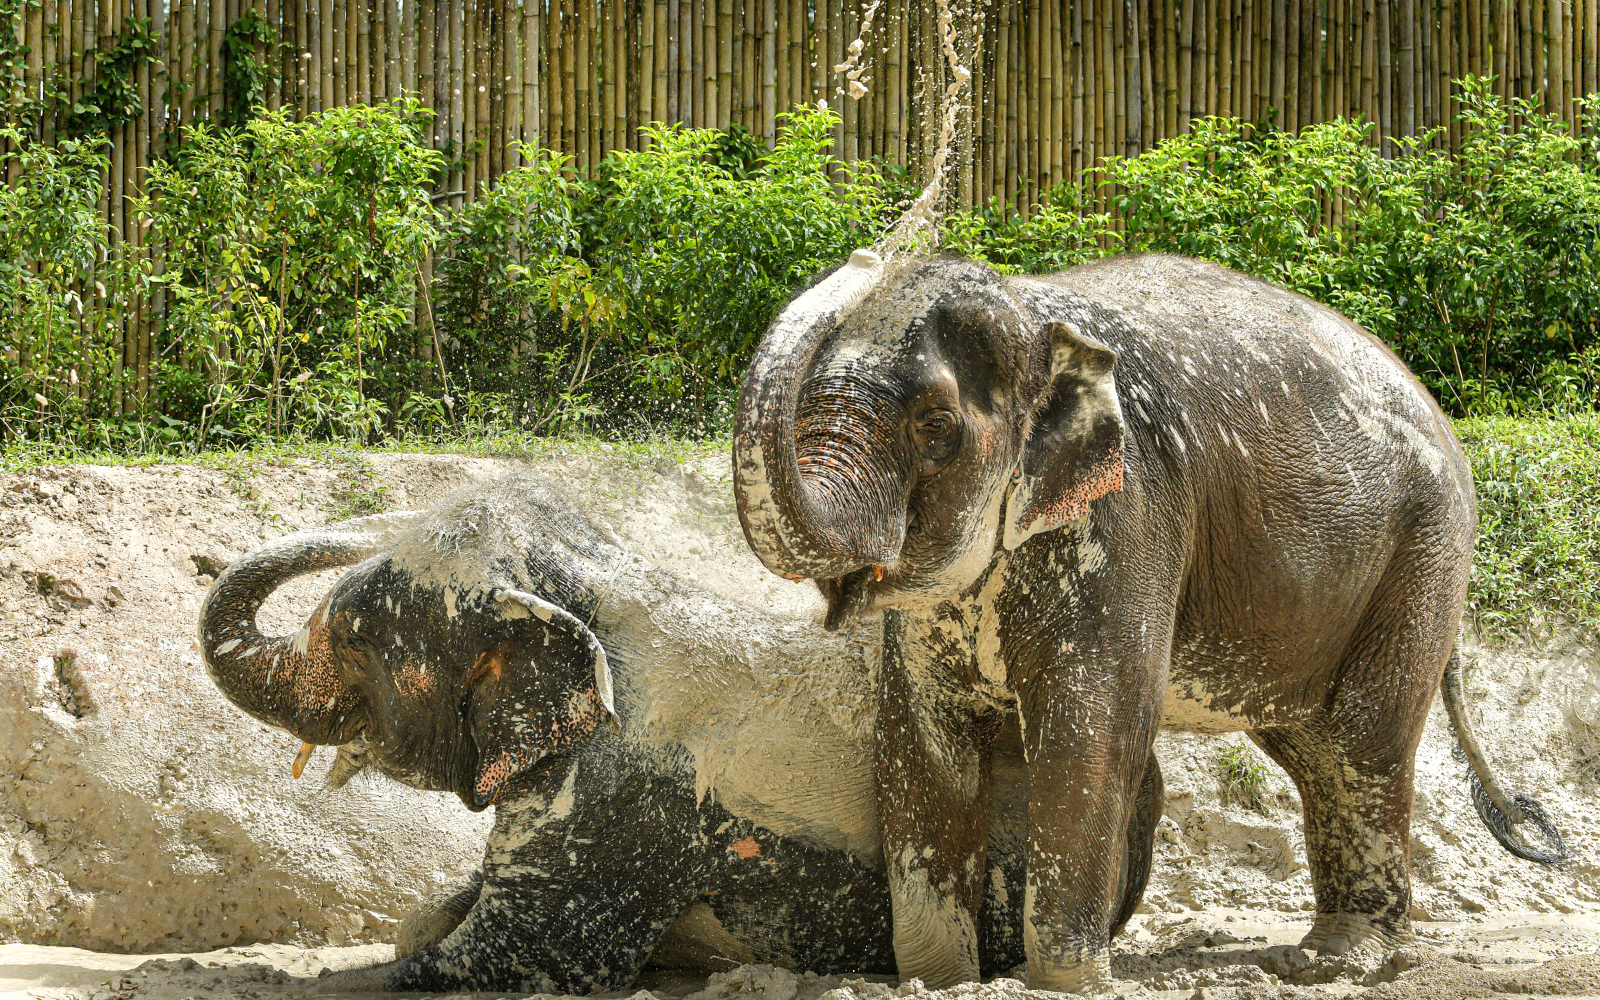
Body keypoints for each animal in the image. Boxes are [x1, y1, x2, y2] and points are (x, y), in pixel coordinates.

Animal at [731, 251, 1567, 993]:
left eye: (936, 428)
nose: (867, 256)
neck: (1036, 318)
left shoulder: (1132, 519)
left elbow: (1092, 735)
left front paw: (1069, 983)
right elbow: (921, 745)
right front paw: (938, 982)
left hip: (1424, 554)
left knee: (1366, 743)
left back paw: (1337, 961)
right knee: (1315, 752)